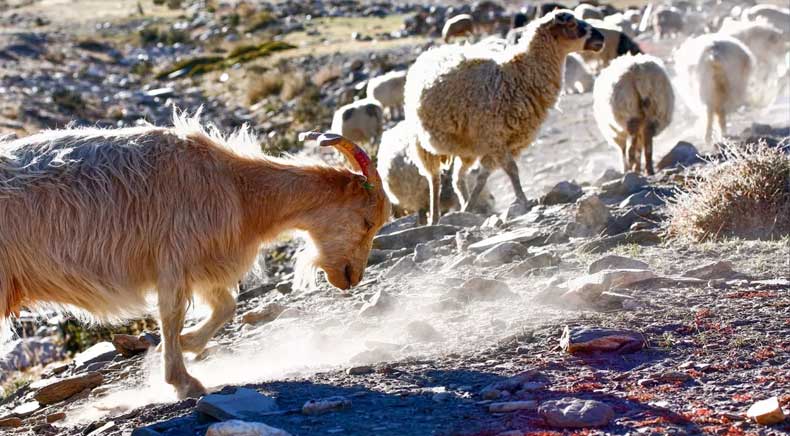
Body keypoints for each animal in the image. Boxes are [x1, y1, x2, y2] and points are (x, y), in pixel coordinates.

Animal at [0, 115, 392, 398]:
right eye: (366, 220)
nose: (352, 277)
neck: (239, 188)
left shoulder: (202, 266)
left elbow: (225, 307)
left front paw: (188, 345)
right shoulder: (175, 260)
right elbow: (172, 315)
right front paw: (183, 381)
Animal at [408, 10, 608, 223]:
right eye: (571, 24)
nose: (601, 38)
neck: (519, 75)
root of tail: (431, 52)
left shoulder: (499, 143)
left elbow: (482, 178)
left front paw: (470, 207)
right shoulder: (494, 137)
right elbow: (512, 169)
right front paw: (523, 201)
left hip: (466, 147)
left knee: (458, 177)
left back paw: (463, 205)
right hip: (424, 143)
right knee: (434, 178)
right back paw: (435, 216)